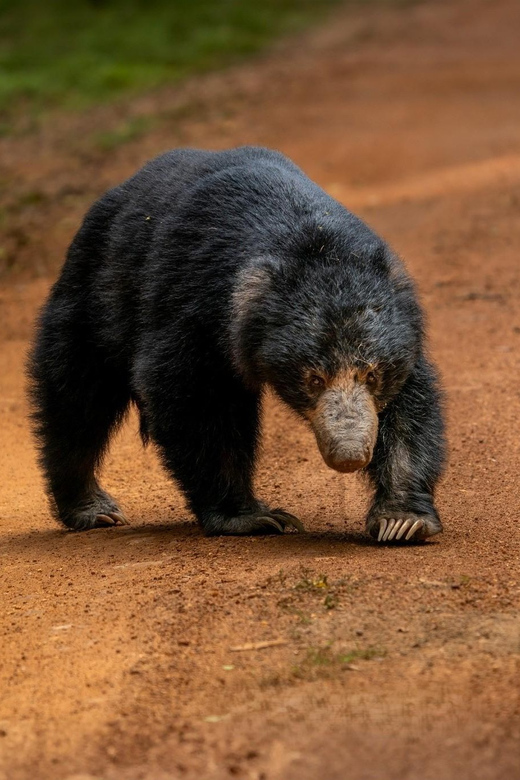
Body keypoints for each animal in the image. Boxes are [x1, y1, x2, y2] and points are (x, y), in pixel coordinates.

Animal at [28, 149, 444, 544]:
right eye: (313, 379)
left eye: (371, 375)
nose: (349, 455)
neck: (313, 241)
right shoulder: (195, 311)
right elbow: (197, 401)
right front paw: (253, 517)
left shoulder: (401, 333)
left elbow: (409, 408)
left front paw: (402, 521)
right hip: (94, 300)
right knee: (76, 399)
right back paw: (93, 509)